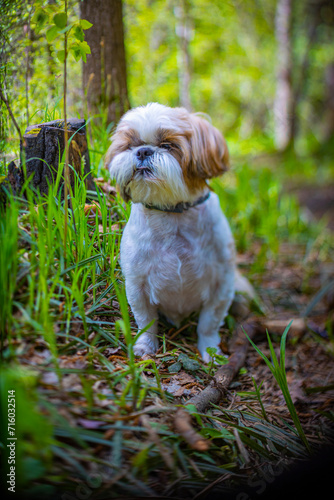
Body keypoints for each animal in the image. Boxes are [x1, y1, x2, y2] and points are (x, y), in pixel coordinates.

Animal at [104, 102, 237, 360]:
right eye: (130, 145)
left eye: (168, 145)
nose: (143, 151)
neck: (172, 213)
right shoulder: (137, 284)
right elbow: (146, 320)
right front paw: (145, 346)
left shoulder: (222, 284)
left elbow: (209, 323)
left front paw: (210, 352)